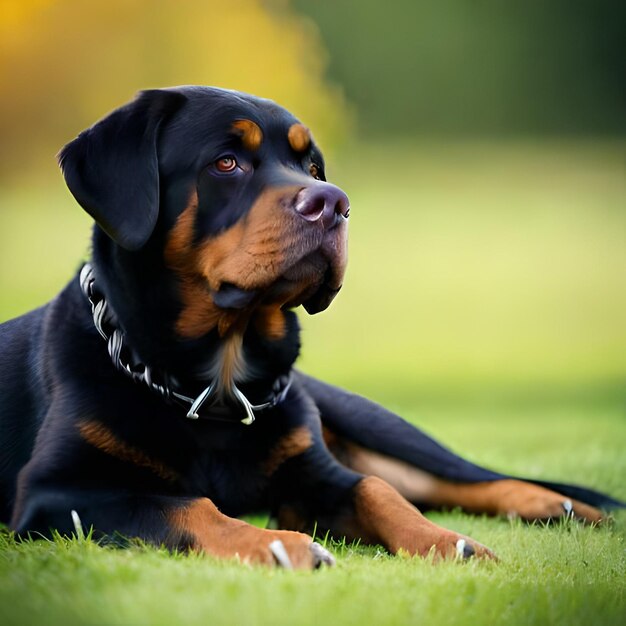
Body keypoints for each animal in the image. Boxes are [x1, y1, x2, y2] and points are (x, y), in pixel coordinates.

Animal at [0, 85, 620, 568]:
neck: (218, 378)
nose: (334, 202)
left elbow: (378, 492)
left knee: (453, 478)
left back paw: (561, 506)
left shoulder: (316, 474)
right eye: (227, 162)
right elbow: (187, 506)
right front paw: (279, 546)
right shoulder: (58, 495)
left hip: (374, 424)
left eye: (313, 167)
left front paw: (450, 543)